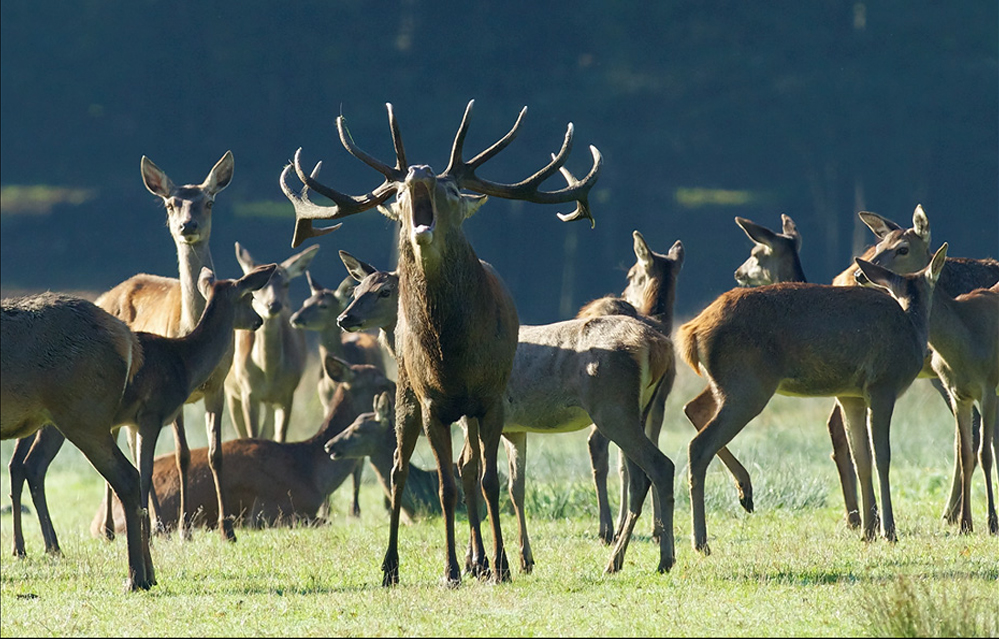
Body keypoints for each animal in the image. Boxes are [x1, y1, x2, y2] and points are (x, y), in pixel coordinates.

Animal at [92, 355, 395, 533]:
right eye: (382, 382)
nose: (398, 387)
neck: (311, 472)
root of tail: (94, 522)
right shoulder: (268, 510)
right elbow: (325, 519)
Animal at [224, 241, 319, 442]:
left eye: (286, 283)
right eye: (259, 287)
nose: (273, 304)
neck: (267, 373)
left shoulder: (287, 393)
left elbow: (279, 437)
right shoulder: (248, 392)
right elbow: (251, 435)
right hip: (230, 389)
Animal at [281, 99, 602, 586]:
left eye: (451, 189)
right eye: (396, 193)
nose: (419, 171)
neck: (451, 353)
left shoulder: (491, 399)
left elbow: (487, 480)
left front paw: (500, 565)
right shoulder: (433, 403)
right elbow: (444, 484)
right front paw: (450, 569)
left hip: (468, 410)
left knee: (469, 469)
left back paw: (481, 561)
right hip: (405, 394)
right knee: (399, 470)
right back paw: (393, 566)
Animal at [335, 249, 677, 577]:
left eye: (385, 291)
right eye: (357, 289)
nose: (345, 317)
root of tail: (659, 345)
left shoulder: (471, 416)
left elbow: (470, 470)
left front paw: (478, 563)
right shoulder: (512, 427)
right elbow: (511, 484)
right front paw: (516, 560)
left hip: (611, 406)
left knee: (660, 466)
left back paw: (659, 559)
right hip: (639, 408)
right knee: (640, 478)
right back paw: (621, 560)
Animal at [679, 244, 948, 554]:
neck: (911, 328)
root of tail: (691, 331)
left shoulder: (850, 396)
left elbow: (860, 458)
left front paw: (868, 531)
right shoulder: (883, 386)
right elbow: (883, 456)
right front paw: (888, 531)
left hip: (734, 385)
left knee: (695, 418)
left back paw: (742, 496)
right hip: (746, 386)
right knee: (698, 445)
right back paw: (701, 541)